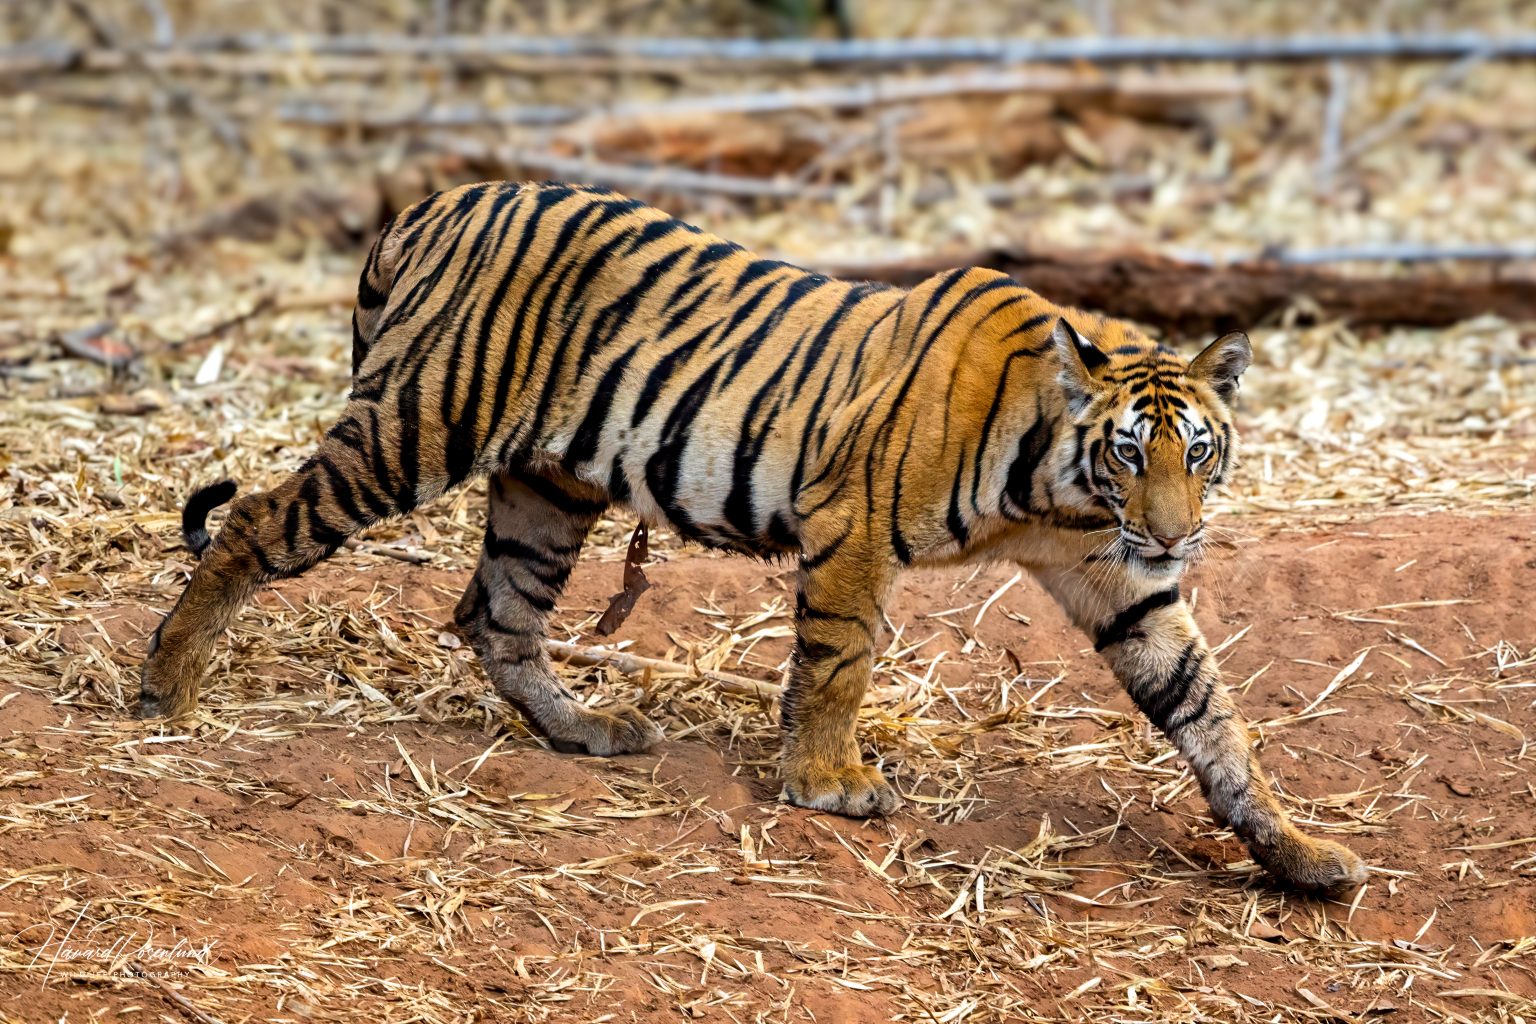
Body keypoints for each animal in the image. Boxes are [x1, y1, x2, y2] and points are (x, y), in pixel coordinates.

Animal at [141, 180, 1366, 893]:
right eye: (1128, 454)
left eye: (1196, 454)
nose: (1174, 537)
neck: (1058, 490)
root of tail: (437, 199)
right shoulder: (853, 522)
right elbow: (838, 660)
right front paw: (829, 782)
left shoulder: (1122, 584)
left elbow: (1211, 716)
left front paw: (1300, 853)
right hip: (416, 427)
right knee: (254, 520)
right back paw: (169, 684)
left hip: (546, 486)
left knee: (494, 611)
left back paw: (587, 732)